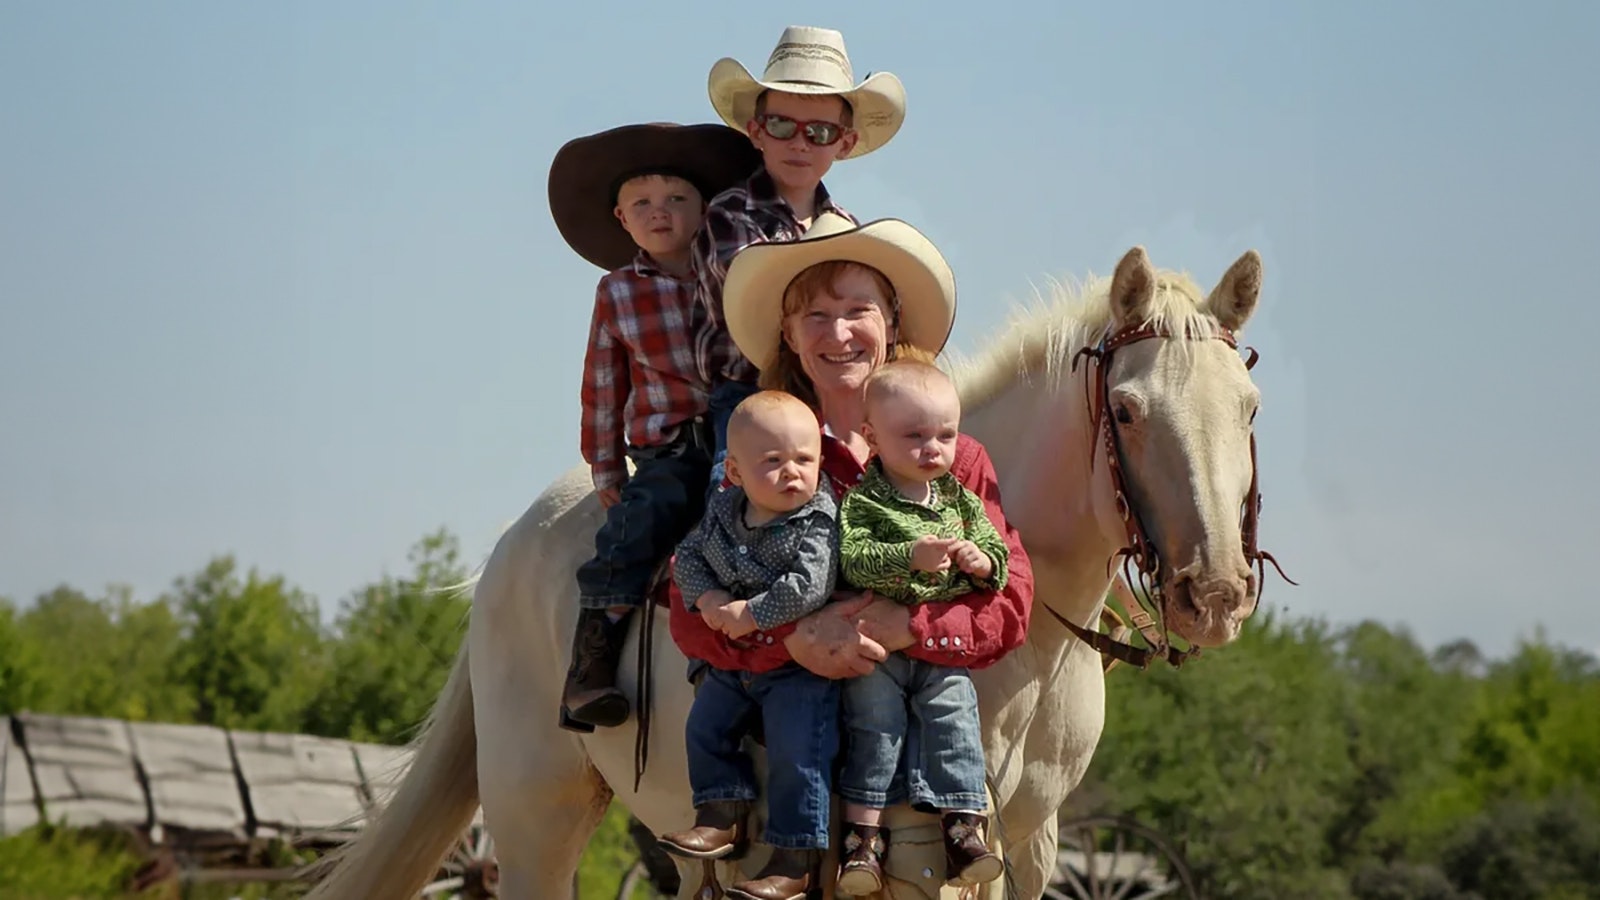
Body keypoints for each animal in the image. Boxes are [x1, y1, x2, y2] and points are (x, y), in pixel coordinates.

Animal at [300, 243, 1273, 896]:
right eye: (1127, 409)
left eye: (1251, 406)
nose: (1215, 594)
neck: (1027, 648)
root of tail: (509, 548)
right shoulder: (927, 846)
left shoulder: (1034, 838)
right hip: (534, 813)